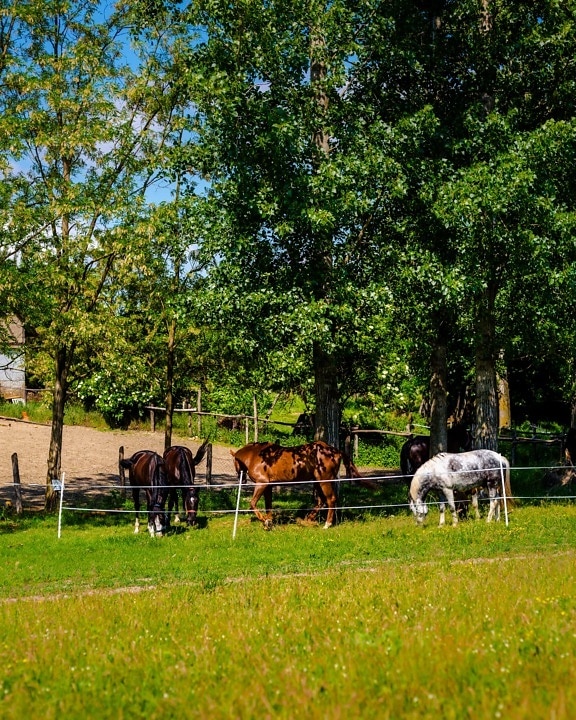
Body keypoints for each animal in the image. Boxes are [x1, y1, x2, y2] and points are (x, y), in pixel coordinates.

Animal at [232, 438, 376, 528]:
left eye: (234, 462)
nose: (241, 479)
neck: (257, 455)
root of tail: (335, 451)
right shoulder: (268, 487)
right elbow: (269, 506)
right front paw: (269, 521)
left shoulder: (262, 484)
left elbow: (252, 504)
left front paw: (265, 521)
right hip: (317, 481)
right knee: (321, 501)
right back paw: (307, 520)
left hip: (324, 481)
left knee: (330, 499)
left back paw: (327, 524)